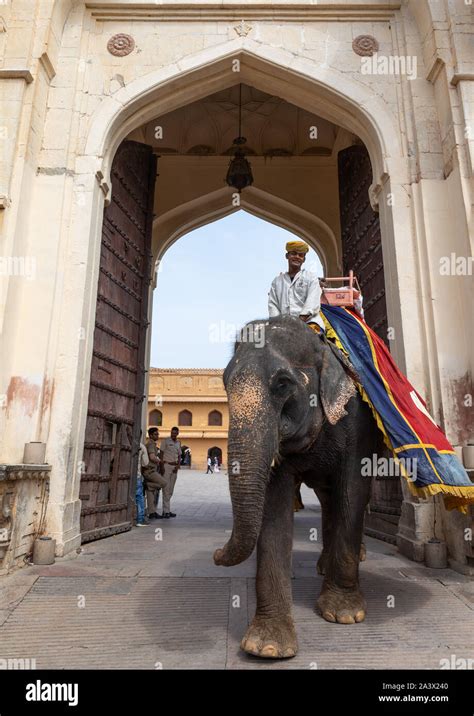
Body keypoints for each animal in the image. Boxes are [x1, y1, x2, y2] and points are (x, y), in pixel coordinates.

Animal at [213, 316, 380, 656]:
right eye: (224, 383)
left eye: (282, 384)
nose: (215, 554)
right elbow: (274, 504)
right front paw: (267, 648)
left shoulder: (358, 420)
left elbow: (353, 490)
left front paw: (343, 615)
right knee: (328, 500)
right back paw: (322, 566)